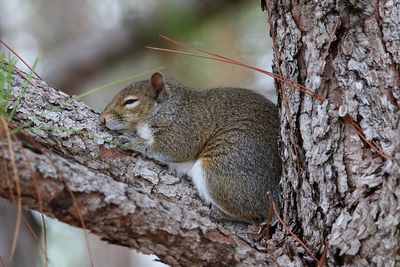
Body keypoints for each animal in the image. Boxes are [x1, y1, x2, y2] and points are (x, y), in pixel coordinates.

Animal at [99, 72, 282, 223]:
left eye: (131, 101)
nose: (102, 119)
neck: (169, 108)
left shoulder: (186, 128)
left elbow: (172, 147)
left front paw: (133, 142)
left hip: (221, 171)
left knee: (253, 216)